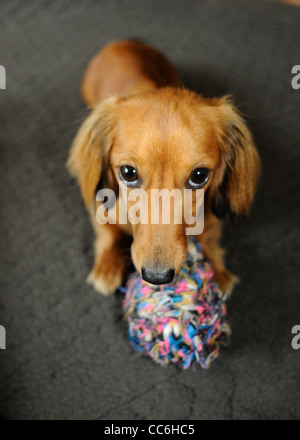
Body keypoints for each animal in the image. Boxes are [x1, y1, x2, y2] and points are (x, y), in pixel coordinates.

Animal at [68, 40, 260, 296]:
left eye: (199, 176)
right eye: (128, 172)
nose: (156, 277)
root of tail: (125, 42)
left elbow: (209, 237)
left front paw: (216, 272)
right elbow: (107, 231)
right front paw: (107, 266)